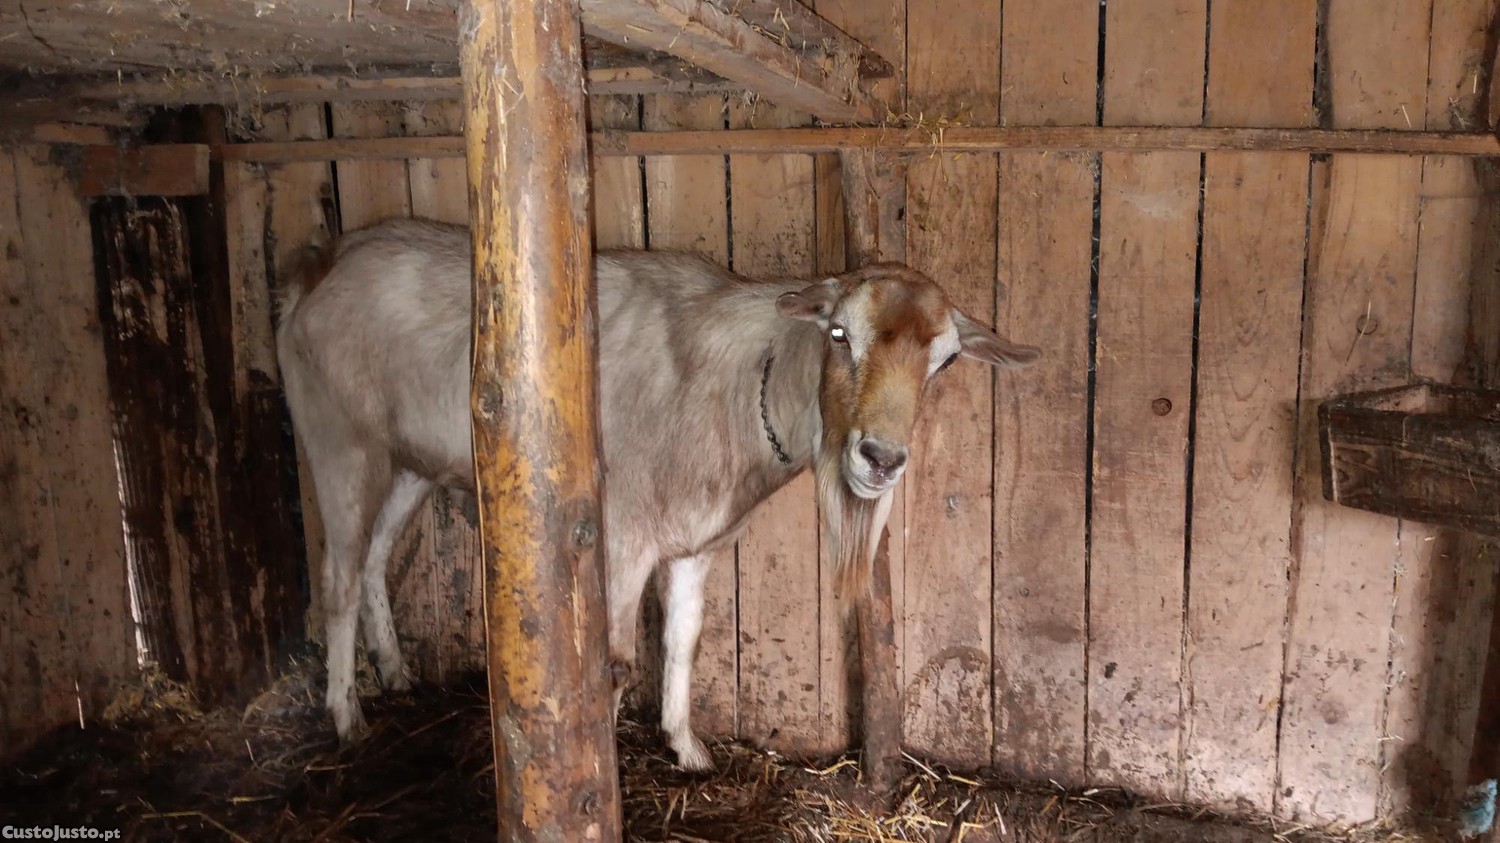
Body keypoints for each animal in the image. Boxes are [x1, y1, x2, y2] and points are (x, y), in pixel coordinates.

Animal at [275, 217, 1041, 770]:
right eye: (838, 333)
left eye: (945, 362)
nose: (880, 458)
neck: (738, 384)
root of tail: (318, 263)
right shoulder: (620, 538)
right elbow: (612, 666)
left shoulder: (696, 542)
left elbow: (684, 640)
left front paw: (688, 748)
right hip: (340, 442)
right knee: (338, 574)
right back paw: (347, 716)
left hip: (409, 460)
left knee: (374, 560)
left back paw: (397, 674)